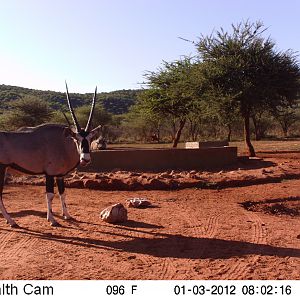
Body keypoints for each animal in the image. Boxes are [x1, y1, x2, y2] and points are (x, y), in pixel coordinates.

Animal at [0, 83, 102, 226]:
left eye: (91, 139)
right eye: (76, 139)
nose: (85, 159)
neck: (62, 143)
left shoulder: (60, 175)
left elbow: (62, 193)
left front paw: (67, 215)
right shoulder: (49, 173)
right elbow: (50, 195)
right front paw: (52, 219)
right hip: (1, 169)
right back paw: (11, 221)